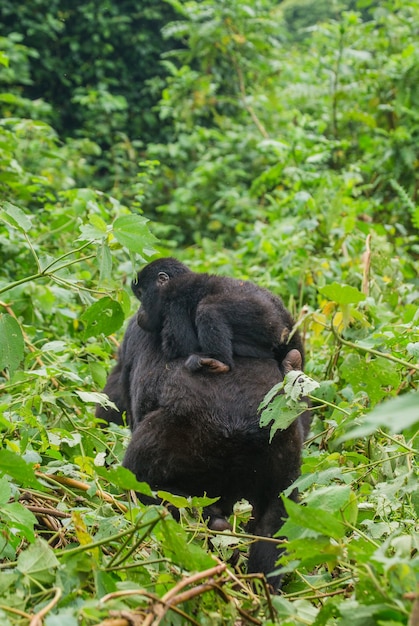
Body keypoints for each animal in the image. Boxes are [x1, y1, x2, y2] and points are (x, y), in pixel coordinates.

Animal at [133, 256, 304, 372]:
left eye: (141, 294)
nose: (139, 311)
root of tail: (287, 324)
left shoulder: (174, 300)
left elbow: (183, 346)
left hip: (265, 320)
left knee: (208, 309)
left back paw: (220, 361)